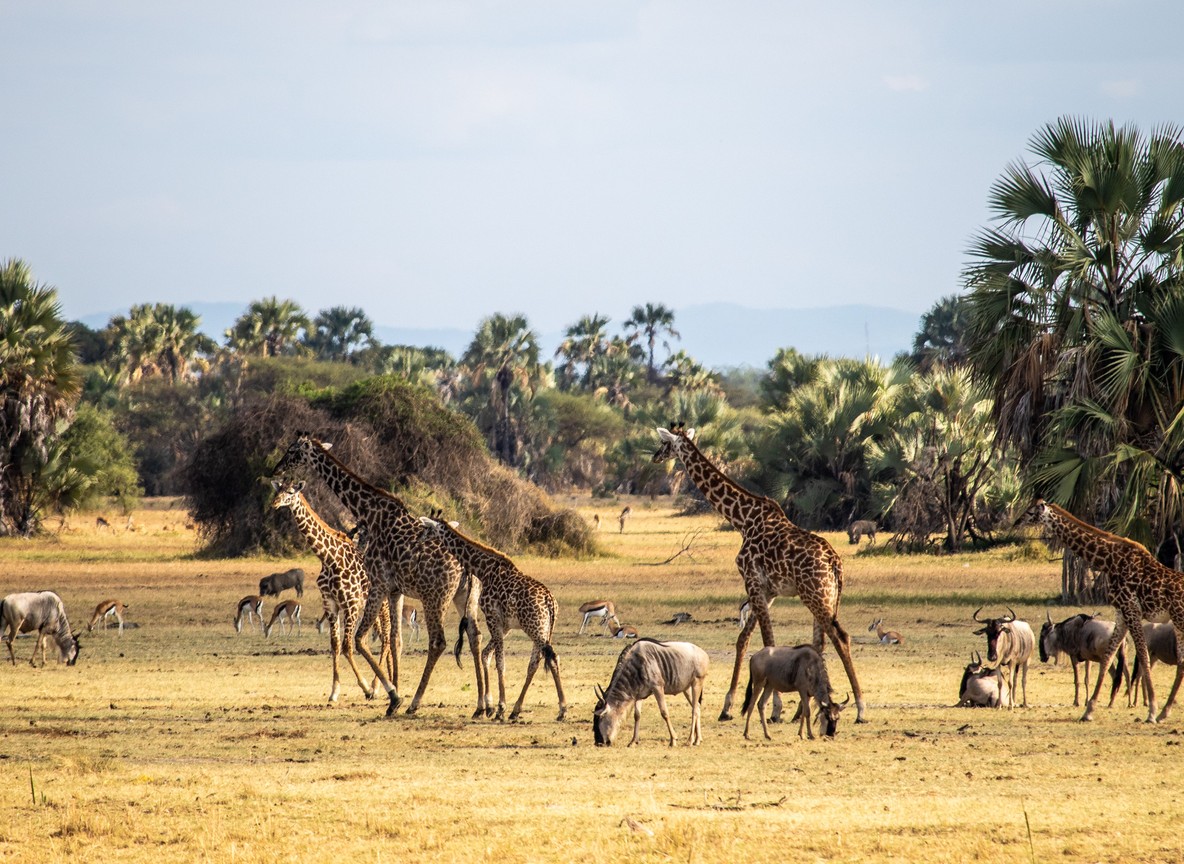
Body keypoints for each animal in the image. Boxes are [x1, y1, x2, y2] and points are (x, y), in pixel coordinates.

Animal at [270, 479, 393, 704]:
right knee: (381, 639)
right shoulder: (331, 603)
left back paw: (376, 686)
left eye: (290, 492)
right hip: (369, 607)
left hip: (383, 604)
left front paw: (366, 688)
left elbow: (346, 646)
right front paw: (334, 692)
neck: (329, 559)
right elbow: (335, 645)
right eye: (278, 490)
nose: (275, 503)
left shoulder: (350, 603)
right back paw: (387, 681)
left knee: (387, 639)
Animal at [420, 512, 566, 721]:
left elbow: (500, 661)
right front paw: (491, 707)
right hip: (544, 629)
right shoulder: (504, 625)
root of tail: (550, 602)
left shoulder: (492, 616)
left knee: (552, 658)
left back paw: (562, 709)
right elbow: (486, 655)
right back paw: (517, 710)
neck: (485, 569)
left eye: (426, 528)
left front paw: (500, 708)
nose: (419, 538)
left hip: (534, 628)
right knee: (535, 662)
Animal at [651, 424, 866, 723]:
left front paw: (773, 707)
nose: (654, 457)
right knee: (819, 642)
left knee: (840, 638)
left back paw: (859, 707)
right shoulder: (768, 590)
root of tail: (836, 563)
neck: (742, 519)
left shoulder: (752, 581)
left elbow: (766, 641)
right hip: (825, 596)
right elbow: (743, 639)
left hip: (814, 594)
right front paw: (728, 706)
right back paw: (804, 710)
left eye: (664, 443)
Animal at [1020, 498, 1184, 722]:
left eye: (1030, 512)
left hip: (1179, 619)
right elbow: (1107, 658)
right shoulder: (1121, 613)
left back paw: (1160, 712)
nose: (1017, 522)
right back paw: (1165, 712)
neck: (1109, 560)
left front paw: (1151, 710)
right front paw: (1088, 711)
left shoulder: (1131, 609)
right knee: (1182, 662)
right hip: (1177, 622)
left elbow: (1143, 657)